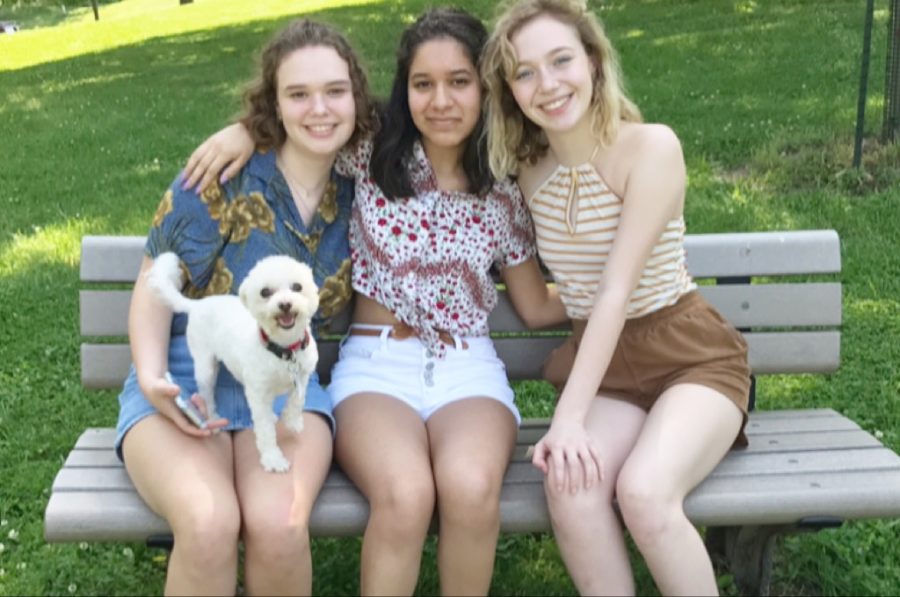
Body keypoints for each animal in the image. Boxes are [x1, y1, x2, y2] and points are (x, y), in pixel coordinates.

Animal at [146, 250, 318, 470]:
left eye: (297, 287)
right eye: (265, 292)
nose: (285, 304)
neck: (283, 350)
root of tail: (197, 304)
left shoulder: (302, 375)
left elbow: (297, 400)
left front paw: (293, 421)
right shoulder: (259, 391)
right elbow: (265, 430)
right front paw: (273, 458)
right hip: (206, 366)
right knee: (207, 395)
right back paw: (213, 417)